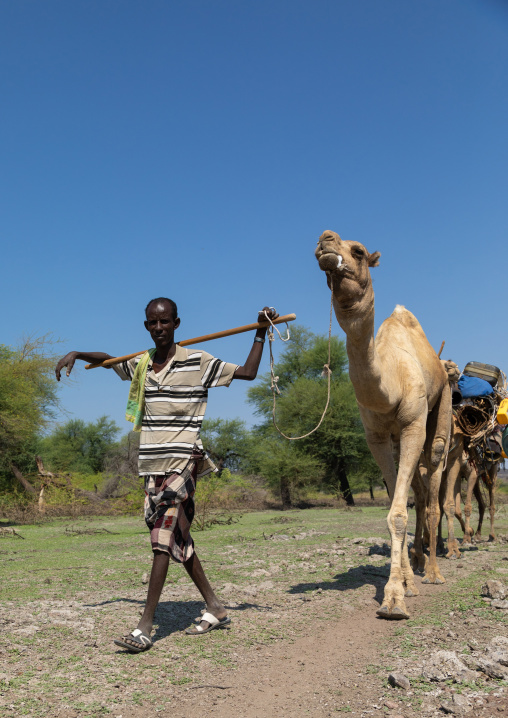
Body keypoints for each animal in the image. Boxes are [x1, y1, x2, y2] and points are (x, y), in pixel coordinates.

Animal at [315, 230, 452, 619]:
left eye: (358, 251)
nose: (325, 239)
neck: (391, 382)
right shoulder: (376, 437)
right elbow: (395, 510)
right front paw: (404, 584)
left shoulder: (412, 426)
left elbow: (399, 514)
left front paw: (393, 600)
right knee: (416, 493)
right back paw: (417, 567)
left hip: (441, 410)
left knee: (433, 488)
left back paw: (433, 572)